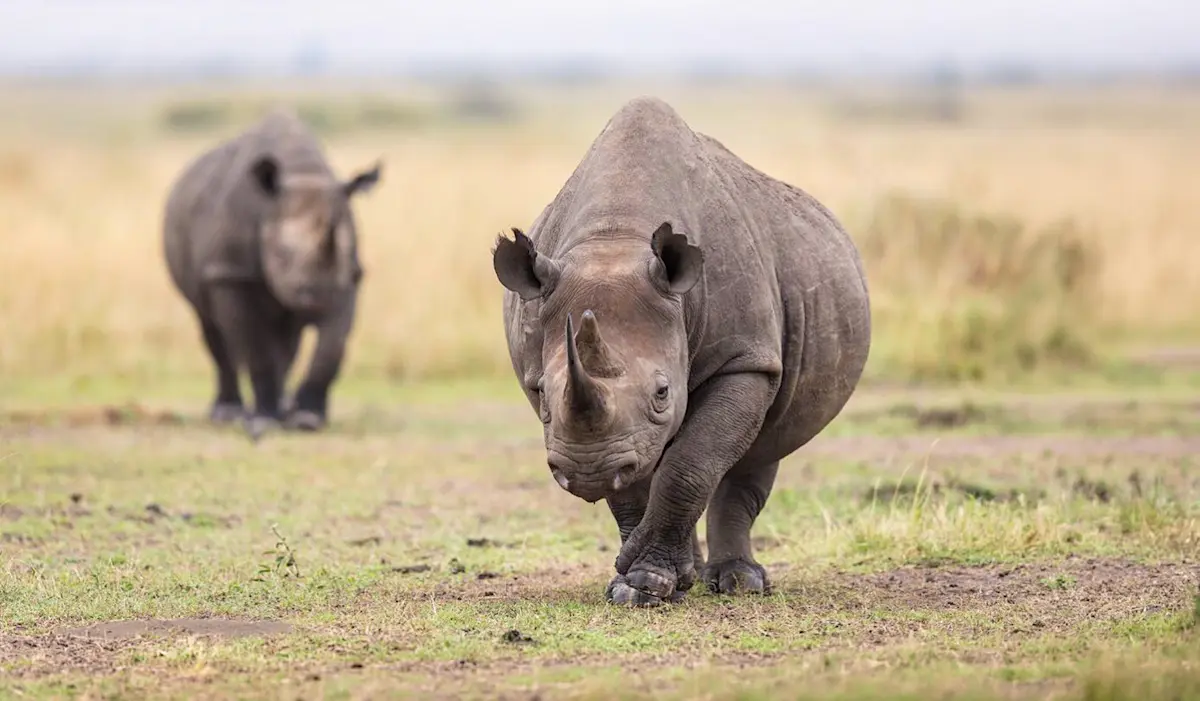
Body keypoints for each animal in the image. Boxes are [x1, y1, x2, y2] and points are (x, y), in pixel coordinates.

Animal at [162, 108, 382, 438]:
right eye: (280, 254)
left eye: (342, 251)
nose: (317, 294)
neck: (302, 175)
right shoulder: (231, 274)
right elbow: (256, 350)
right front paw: (263, 421)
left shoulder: (348, 279)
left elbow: (331, 349)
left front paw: (307, 419)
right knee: (211, 327)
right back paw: (229, 413)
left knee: (286, 338)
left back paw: (283, 409)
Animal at [492, 97, 871, 606]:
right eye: (541, 395)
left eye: (662, 393)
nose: (587, 472)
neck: (615, 241)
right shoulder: (606, 429)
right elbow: (635, 480)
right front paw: (641, 585)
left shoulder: (745, 359)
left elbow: (689, 466)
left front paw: (645, 581)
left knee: (755, 453)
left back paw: (739, 583)